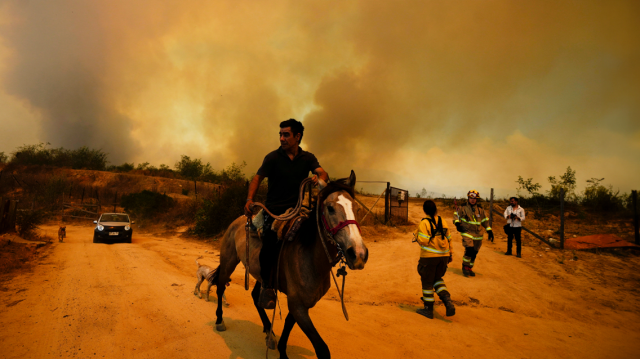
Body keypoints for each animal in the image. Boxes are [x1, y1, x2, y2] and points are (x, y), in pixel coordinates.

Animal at [209, 172, 368, 359]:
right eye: (330, 208)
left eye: (356, 208)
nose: (358, 254)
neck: (310, 256)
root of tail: (239, 220)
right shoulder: (297, 304)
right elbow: (322, 349)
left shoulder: (302, 303)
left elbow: (287, 324)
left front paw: (282, 350)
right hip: (228, 261)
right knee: (220, 287)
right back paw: (220, 320)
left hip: (262, 276)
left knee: (256, 297)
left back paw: (269, 333)